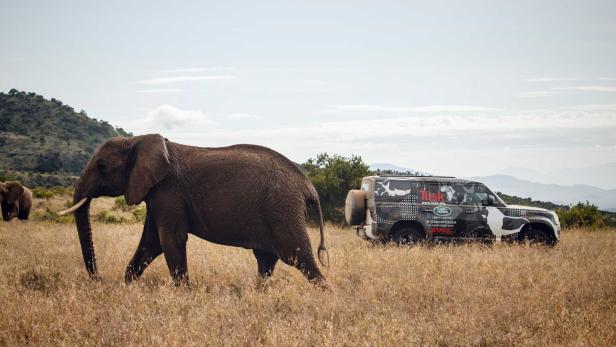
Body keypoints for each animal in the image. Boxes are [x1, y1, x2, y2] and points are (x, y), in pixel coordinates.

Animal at [59, 135, 330, 286]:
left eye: (102, 166)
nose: (98, 280)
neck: (137, 140)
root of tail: (309, 186)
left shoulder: (169, 190)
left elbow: (170, 239)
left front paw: (184, 294)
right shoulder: (156, 194)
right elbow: (151, 242)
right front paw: (127, 287)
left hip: (283, 210)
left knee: (299, 257)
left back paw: (324, 296)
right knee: (266, 260)